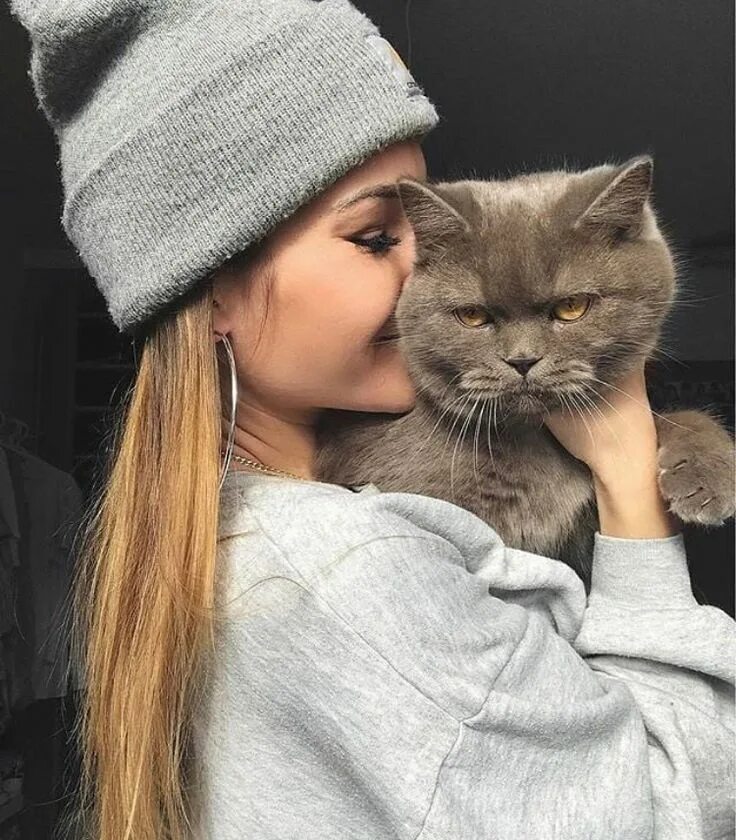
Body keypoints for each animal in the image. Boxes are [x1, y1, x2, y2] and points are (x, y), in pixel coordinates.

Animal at [314, 155, 735, 593]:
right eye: (472, 315)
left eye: (571, 307)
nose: (522, 360)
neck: (530, 437)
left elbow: (679, 417)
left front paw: (706, 475)